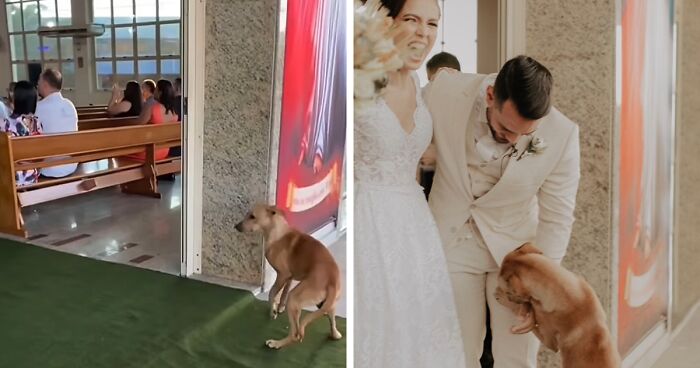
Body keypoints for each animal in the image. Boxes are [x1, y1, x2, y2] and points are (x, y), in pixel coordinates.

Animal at [235, 206, 344, 350]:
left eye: (252, 216)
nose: (236, 226)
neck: (278, 232)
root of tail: (332, 280)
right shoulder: (289, 277)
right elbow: (283, 292)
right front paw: (280, 307)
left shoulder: (283, 275)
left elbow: (272, 293)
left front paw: (273, 311)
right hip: (328, 305)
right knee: (333, 324)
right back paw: (334, 333)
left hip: (294, 298)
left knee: (296, 334)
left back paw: (276, 343)